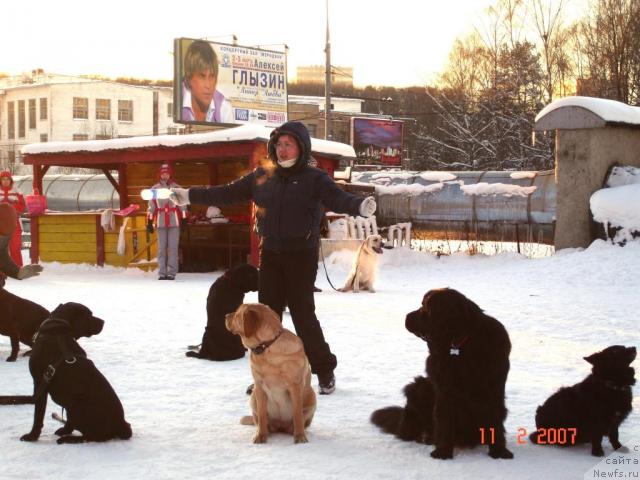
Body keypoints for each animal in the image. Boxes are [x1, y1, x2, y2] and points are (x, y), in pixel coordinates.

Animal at [20, 302, 132, 444]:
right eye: (89, 314)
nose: (103, 322)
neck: (56, 331)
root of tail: (121, 424)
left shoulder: (40, 382)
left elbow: (38, 416)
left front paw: (32, 436)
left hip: (77, 404)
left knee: (91, 436)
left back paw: (68, 439)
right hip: (72, 403)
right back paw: (64, 432)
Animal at [226, 304, 316, 442]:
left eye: (236, 315)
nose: (225, 316)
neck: (266, 348)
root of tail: (280, 426)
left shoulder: (295, 387)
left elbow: (297, 414)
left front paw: (300, 437)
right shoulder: (259, 387)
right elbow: (262, 414)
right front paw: (260, 436)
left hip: (312, 396)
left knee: (300, 420)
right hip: (253, 397)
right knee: (260, 420)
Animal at [370, 286, 516, 460]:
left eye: (426, 307)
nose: (406, 316)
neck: (458, 344)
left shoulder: (494, 387)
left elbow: (495, 421)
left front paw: (499, 451)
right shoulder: (444, 388)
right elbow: (445, 420)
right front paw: (443, 452)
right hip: (419, 386)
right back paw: (427, 437)